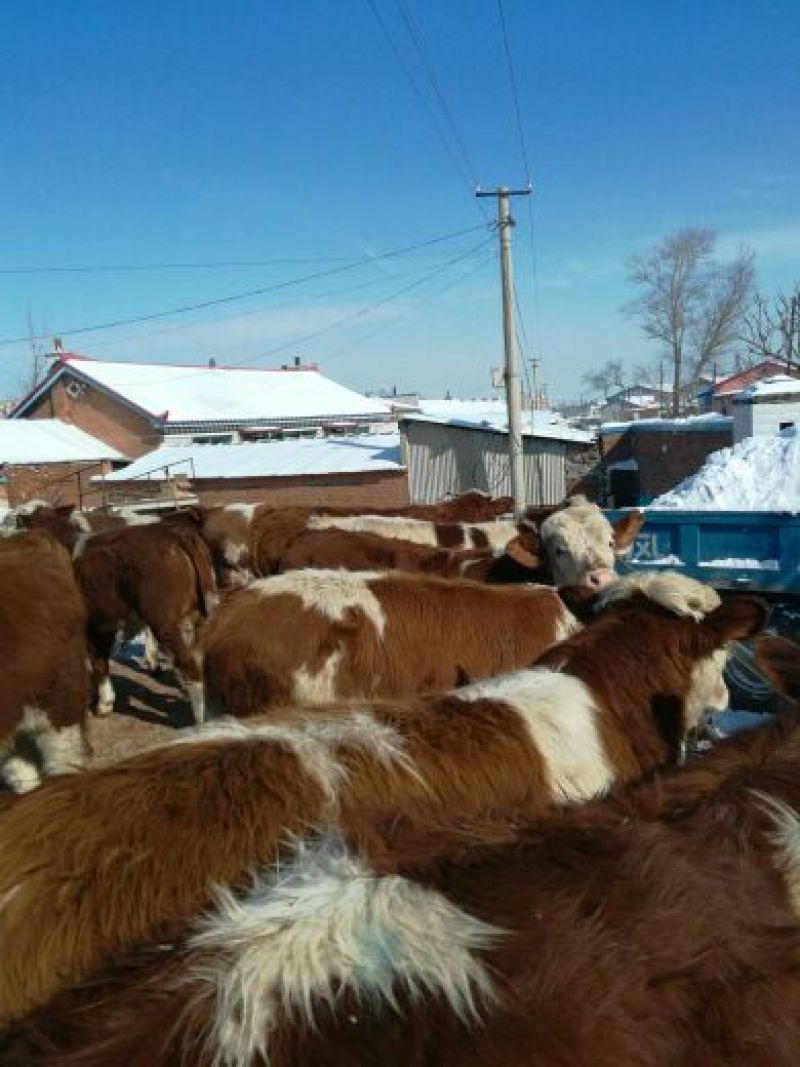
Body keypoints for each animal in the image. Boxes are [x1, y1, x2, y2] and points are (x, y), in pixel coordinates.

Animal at [74, 522, 217, 721]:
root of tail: (175, 532)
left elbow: (98, 662)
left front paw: (102, 705)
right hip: (201, 614)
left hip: (167, 624)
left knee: (190, 667)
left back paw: (200, 719)